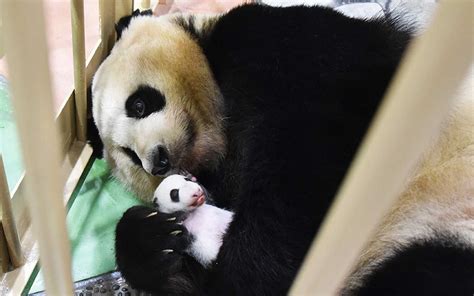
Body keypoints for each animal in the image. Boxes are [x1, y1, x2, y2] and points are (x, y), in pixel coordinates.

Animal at [90, 3, 470, 294]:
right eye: (130, 155)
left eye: (139, 104)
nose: (158, 162)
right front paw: (151, 236)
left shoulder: (287, 43)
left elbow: (305, 153)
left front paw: (243, 276)